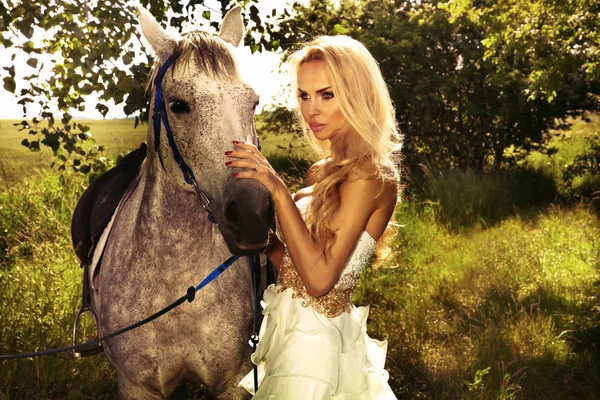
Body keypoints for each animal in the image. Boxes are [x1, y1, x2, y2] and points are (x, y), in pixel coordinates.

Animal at [71, 5, 274, 396]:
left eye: (253, 102)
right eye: (179, 105)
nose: (253, 215)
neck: (180, 286)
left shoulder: (234, 380)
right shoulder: (138, 386)